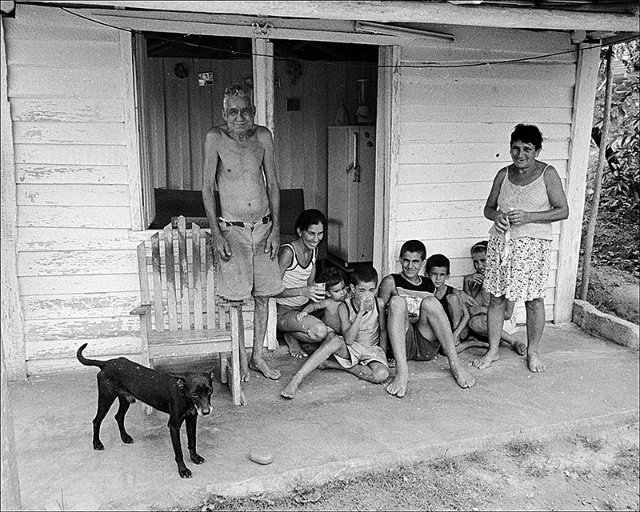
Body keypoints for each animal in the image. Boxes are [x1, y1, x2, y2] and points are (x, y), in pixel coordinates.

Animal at [77, 342, 212, 478]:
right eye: (194, 394)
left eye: (210, 391)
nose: (206, 411)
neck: (183, 393)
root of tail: (106, 363)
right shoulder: (174, 426)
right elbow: (179, 452)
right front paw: (183, 470)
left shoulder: (191, 420)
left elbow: (192, 442)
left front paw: (195, 458)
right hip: (106, 399)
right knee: (96, 421)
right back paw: (97, 443)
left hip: (125, 400)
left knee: (118, 416)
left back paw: (125, 437)